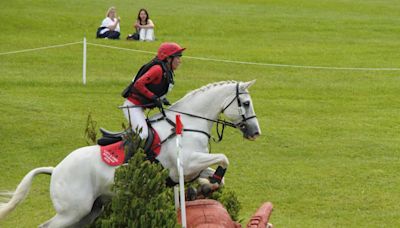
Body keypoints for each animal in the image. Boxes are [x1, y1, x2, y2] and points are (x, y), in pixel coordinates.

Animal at [0, 79, 260, 226]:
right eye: (246, 104)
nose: (255, 132)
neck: (188, 123)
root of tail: (55, 170)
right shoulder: (185, 163)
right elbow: (224, 158)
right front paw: (209, 183)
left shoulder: (191, 167)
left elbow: (216, 172)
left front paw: (206, 185)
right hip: (73, 211)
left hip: (90, 211)